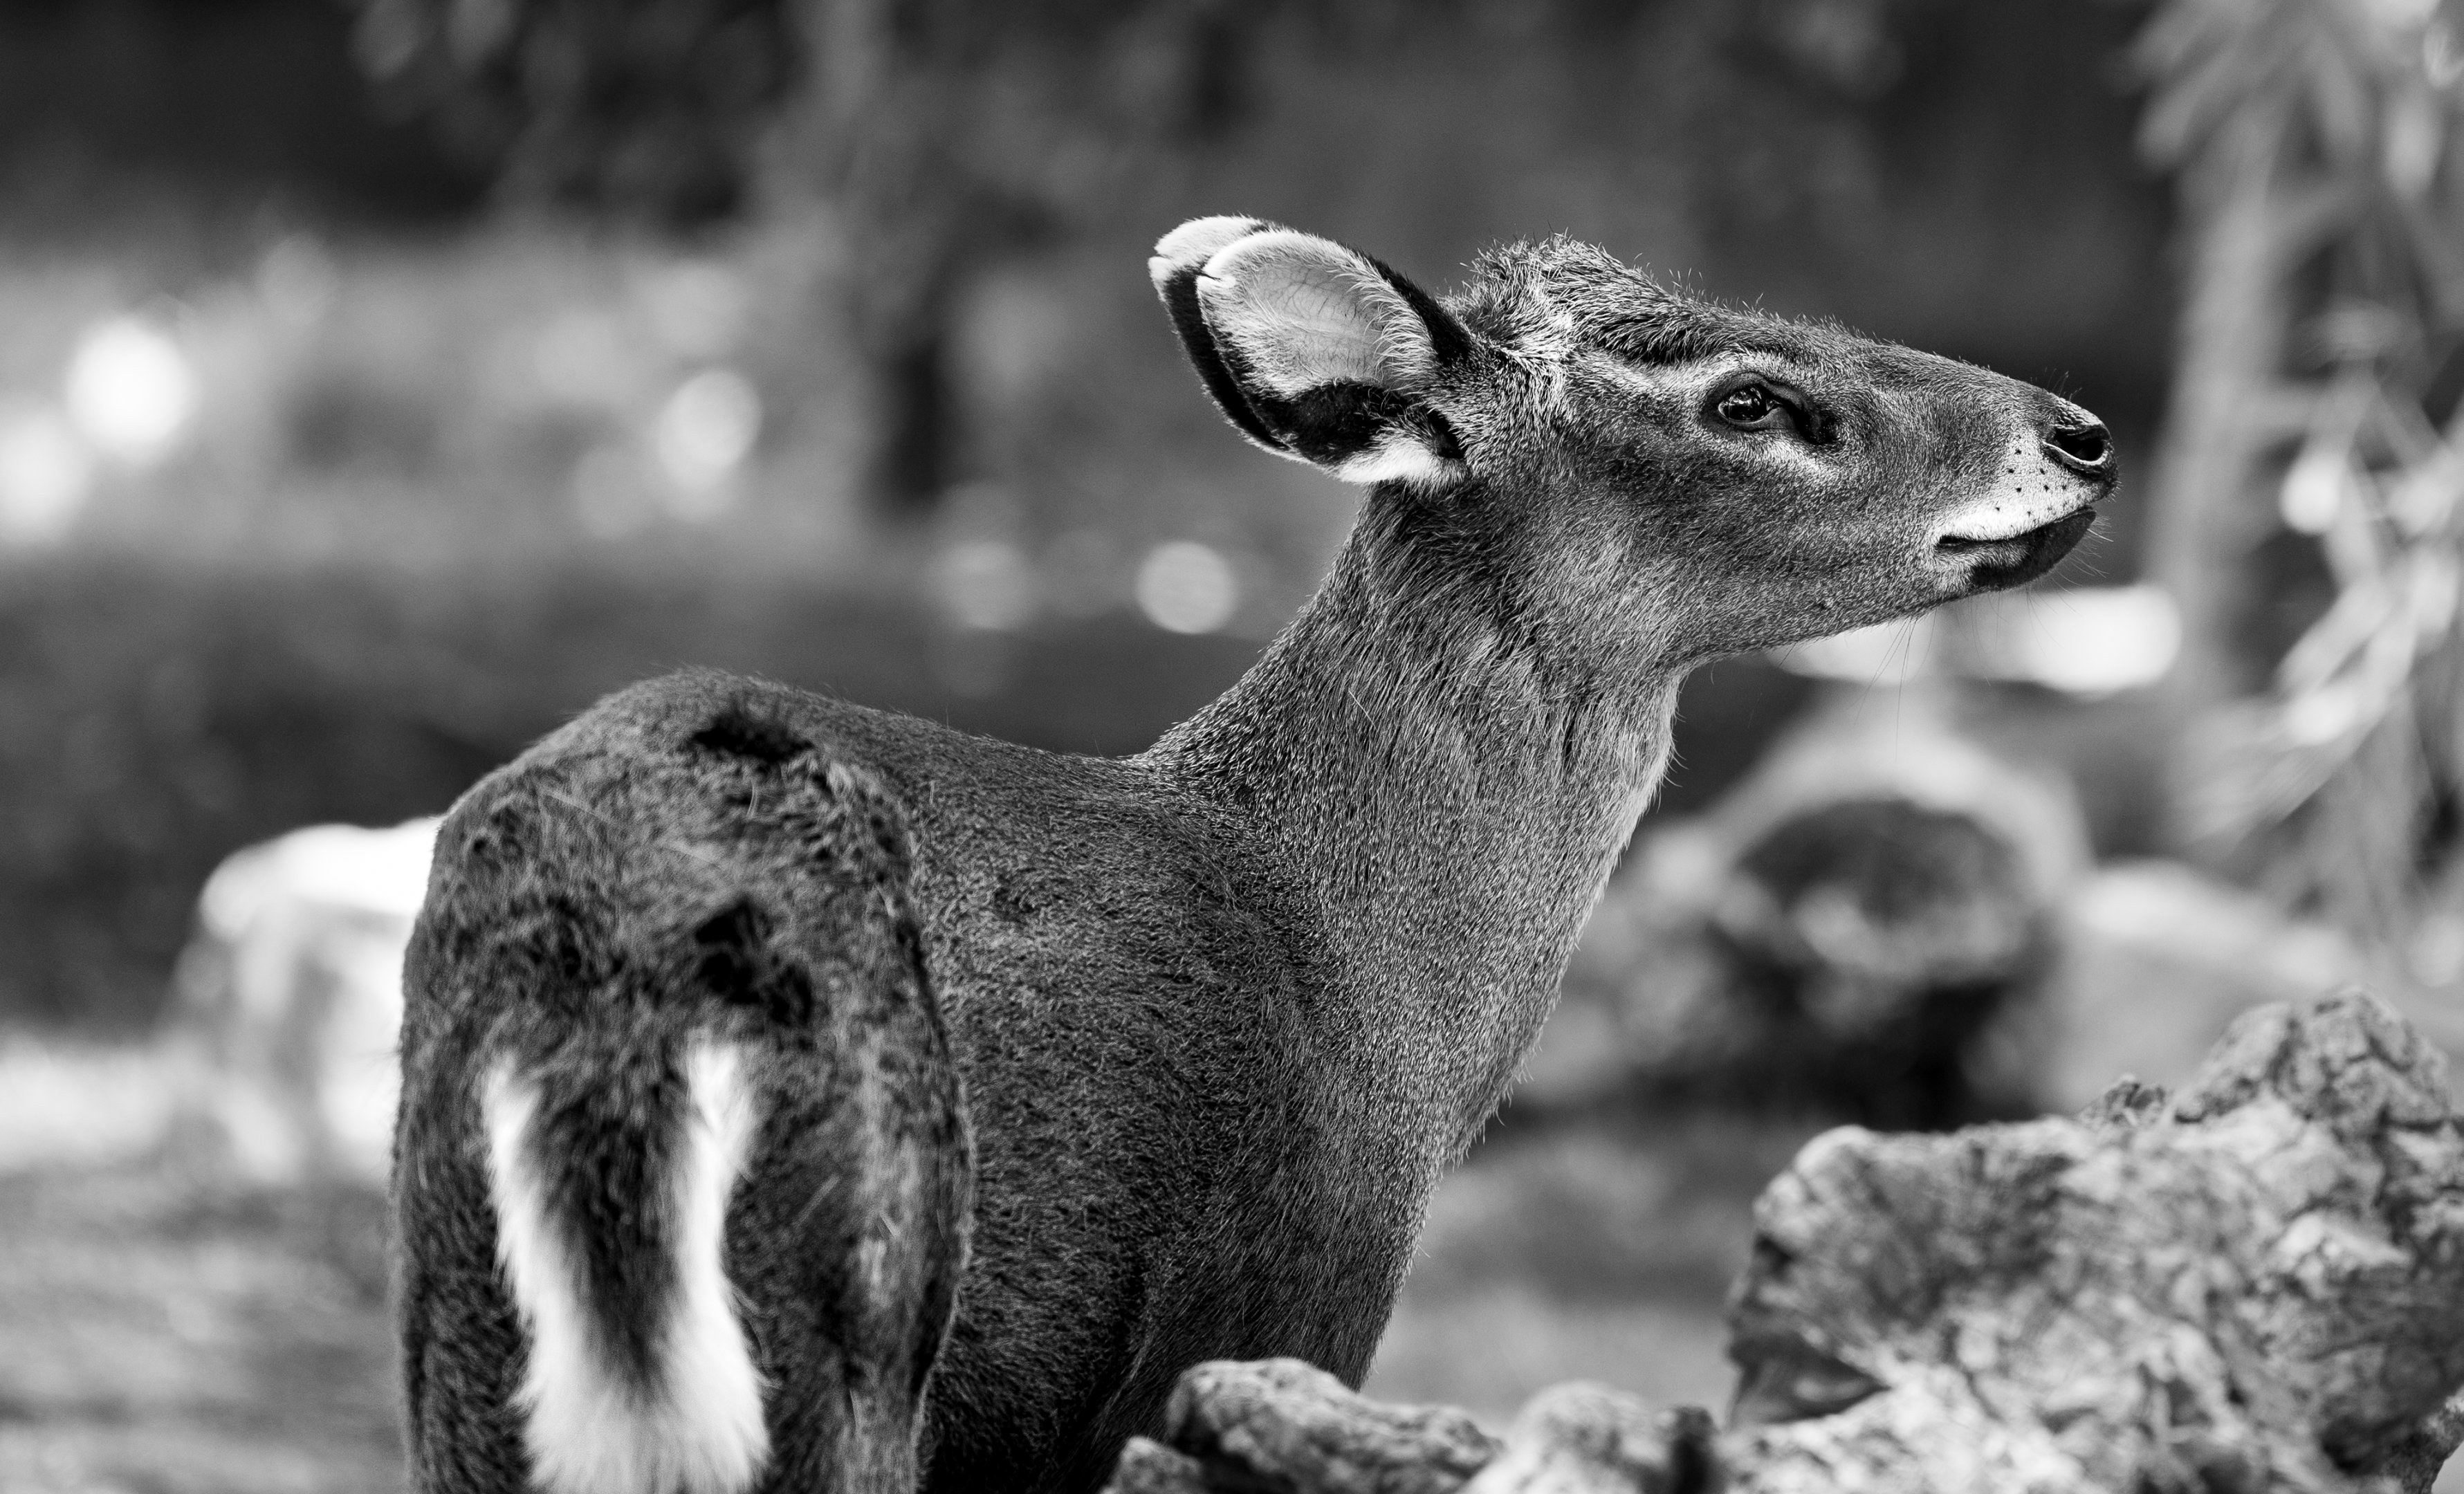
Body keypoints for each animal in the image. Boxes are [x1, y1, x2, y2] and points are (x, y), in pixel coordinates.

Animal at [392, 215, 2118, 1494]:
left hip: (461, 1331)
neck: (1383, 1009)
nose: (2082, 433)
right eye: (1747, 400)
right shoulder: (1275, 1294)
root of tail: (624, 947)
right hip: (862, 1312)